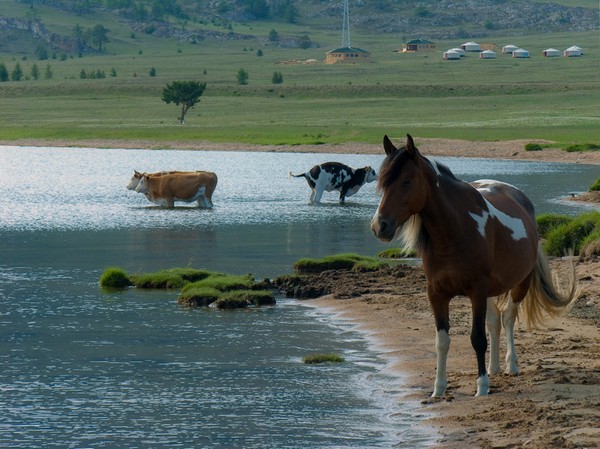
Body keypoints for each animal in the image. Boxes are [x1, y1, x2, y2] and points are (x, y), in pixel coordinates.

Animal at [370, 134, 576, 396]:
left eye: (407, 181)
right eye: (383, 183)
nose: (379, 226)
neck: (455, 232)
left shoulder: (476, 291)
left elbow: (477, 338)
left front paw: (482, 387)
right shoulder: (436, 294)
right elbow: (442, 341)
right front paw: (438, 389)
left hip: (520, 283)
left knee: (508, 318)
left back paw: (511, 365)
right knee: (495, 322)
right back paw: (494, 367)